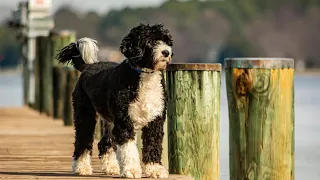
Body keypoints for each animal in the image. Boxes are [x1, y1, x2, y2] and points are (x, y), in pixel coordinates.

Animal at [56, 22, 174, 179]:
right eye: (150, 41)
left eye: (166, 41)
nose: (166, 52)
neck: (143, 75)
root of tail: (88, 66)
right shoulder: (124, 121)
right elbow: (128, 148)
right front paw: (131, 170)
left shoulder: (155, 119)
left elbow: (153, 144)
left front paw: (155, 169)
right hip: (85, 114)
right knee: (83, 141)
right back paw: (82, 167)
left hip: (109, 121)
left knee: (104, 143)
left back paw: (111, 167)